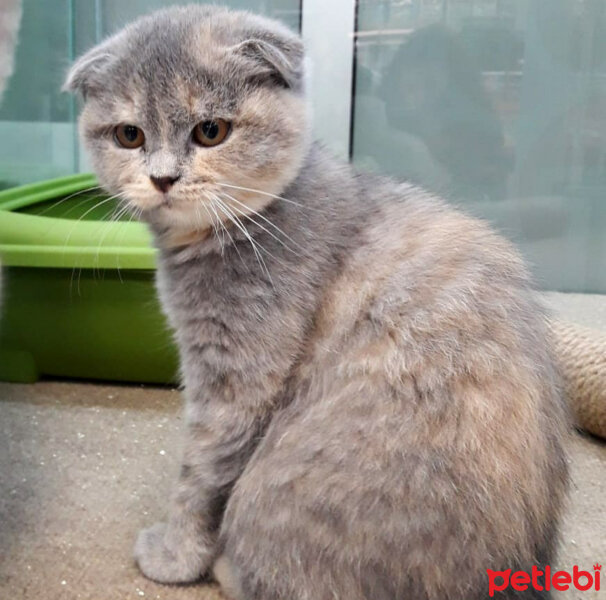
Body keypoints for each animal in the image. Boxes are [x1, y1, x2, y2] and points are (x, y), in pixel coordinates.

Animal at [64, 5, 572, 600]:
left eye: (211, 131)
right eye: (129, 134)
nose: (163, 178)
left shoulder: (237, 384)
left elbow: (200, 476)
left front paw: (174, 555)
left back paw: (229, 569)